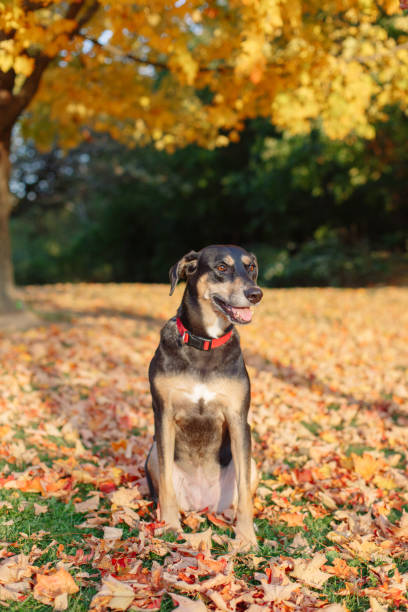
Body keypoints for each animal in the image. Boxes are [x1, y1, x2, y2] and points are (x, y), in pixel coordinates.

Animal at [145, 245, 262, 548]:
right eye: (221, 267)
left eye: (251, 267)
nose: (256, 294)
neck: (205, 344)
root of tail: (202, 505)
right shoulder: (163, 415)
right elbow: (166, 486)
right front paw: (170, 526)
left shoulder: (238, 419)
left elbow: (245, 495)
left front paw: (246, 537)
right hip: (151, 455)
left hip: (252, 463)